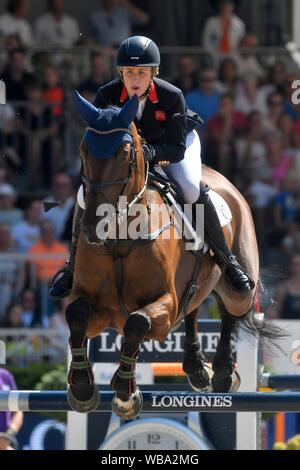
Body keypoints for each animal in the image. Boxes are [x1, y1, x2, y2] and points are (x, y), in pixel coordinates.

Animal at [63, 92, 274, 418]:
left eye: (124, 153)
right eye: (84, 150)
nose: (94, 226)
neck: (120, 237)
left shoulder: (163, 306)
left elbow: (137, 323)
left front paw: (125, 393)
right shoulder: (98, 309)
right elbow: (76, 314)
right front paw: (83, 387)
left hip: (239, 286)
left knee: (230, 310)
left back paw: (223, 372)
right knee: (194, 308)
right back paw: (198, 370)